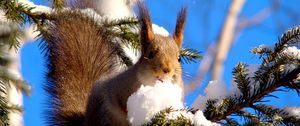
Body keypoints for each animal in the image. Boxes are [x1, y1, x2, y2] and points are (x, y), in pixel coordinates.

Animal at [43, 1, 186, 126]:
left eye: (179, 58)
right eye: (150, 54)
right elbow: (123, 105)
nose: (167, 69)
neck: (153, 85)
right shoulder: (120, 88)